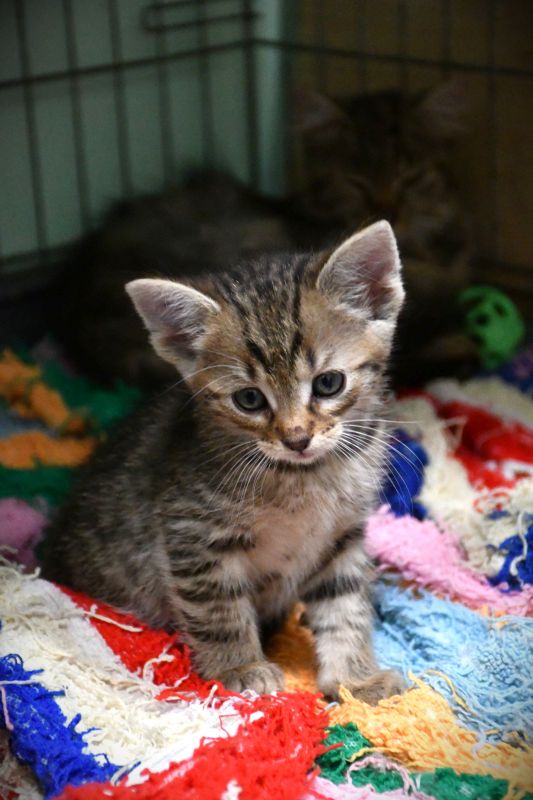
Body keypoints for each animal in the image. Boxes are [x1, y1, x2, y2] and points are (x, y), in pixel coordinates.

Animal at [44, 220, 405, 702]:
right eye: (249, 399)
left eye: (328, 383)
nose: (297, 438)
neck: (303, 476)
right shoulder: (193, 534)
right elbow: (218, 608)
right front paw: (241, 665)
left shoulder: (342, 536)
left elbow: (344, 605)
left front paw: (354, 679)